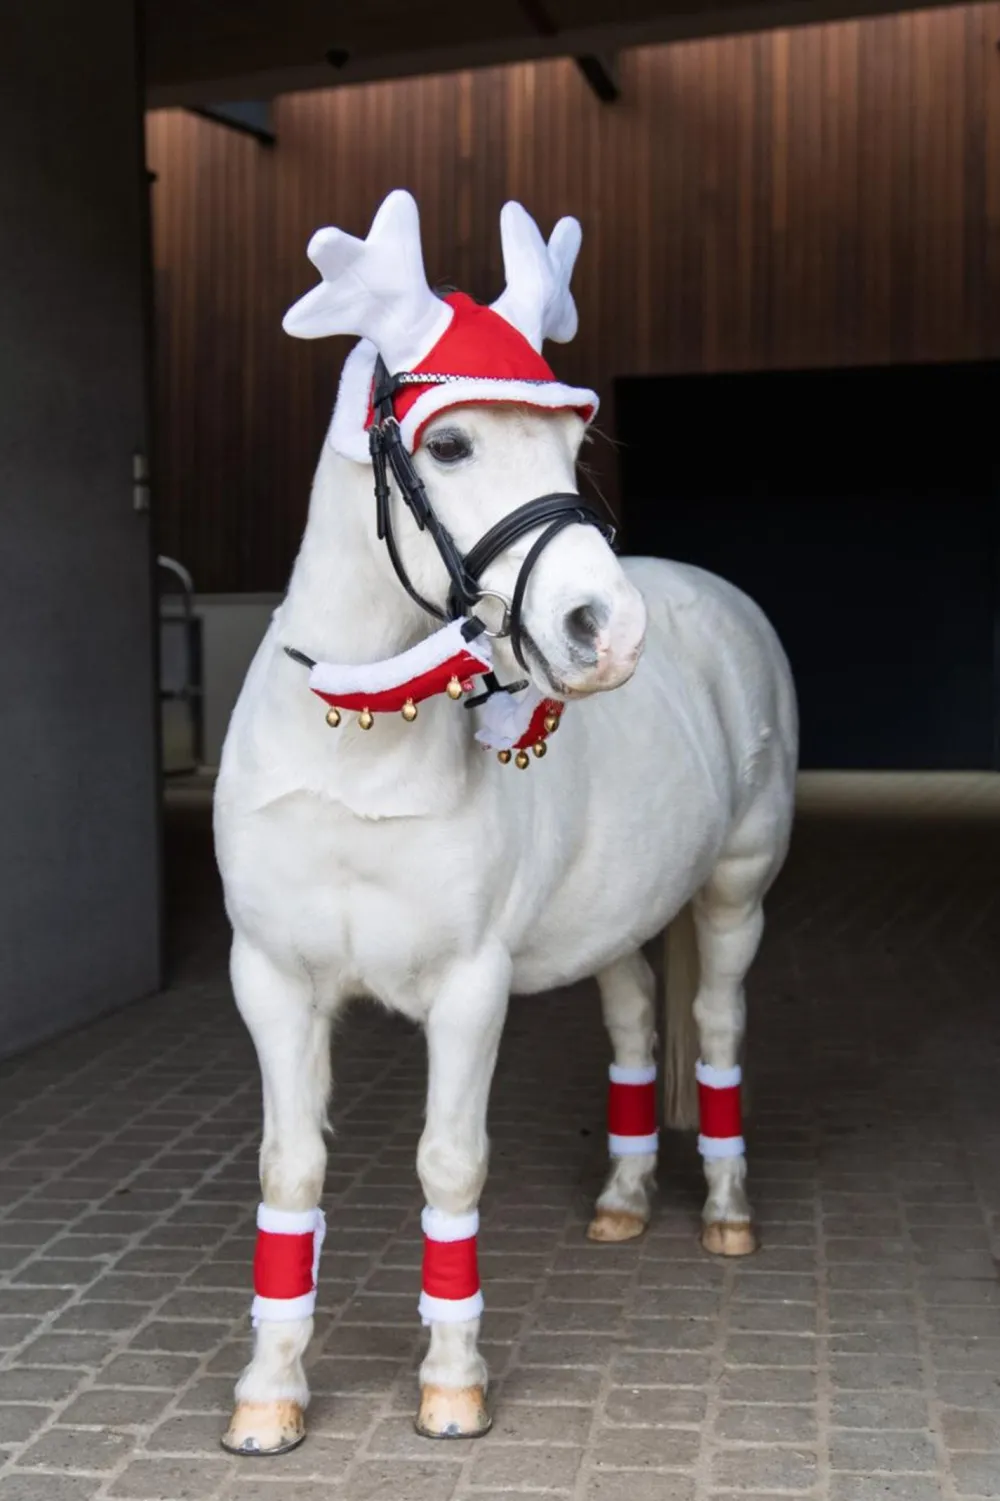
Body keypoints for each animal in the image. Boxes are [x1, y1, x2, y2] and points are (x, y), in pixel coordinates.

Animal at [213, 189, 797, 1454]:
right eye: (448, 445)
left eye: (573, 450)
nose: (606, 631)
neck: (357, 740)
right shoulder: (273, 980)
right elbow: (289, 1174)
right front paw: (268, 1394)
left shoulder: (467, 988)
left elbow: (449, 1165)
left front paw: (451, 1383)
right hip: (620, 916)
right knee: (634, 1025)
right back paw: (623, 1196)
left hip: (734, 891)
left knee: (716, 1027)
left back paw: (725, 1209)